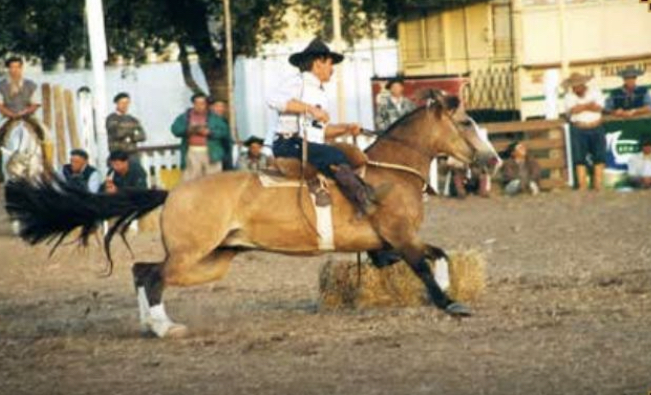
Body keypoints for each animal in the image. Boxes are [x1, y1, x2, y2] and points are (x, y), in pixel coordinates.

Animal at [3, 91, 500, 338]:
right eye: (468, 123)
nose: (493, 160)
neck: (386, 173)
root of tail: (173, 192)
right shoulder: (399, 237)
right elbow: (425, 264)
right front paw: (449, 302)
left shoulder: (388, 245)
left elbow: (438, 256)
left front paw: (449, 292)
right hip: (192, 256)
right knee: (153, 275)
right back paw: (165, 327)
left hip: (212, 260)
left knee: (142, 269)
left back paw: (150, 323)